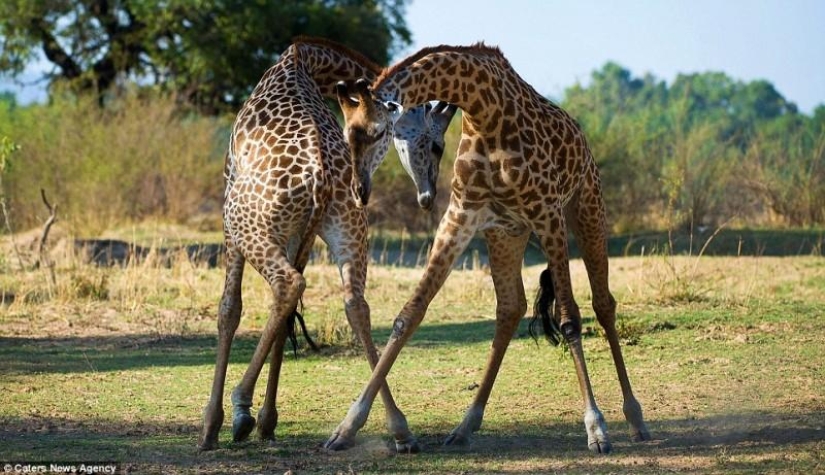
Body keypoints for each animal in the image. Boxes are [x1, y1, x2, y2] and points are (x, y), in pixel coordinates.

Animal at [197, 37, 456, 451]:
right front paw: (268, 420)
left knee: (288, 284)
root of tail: (321, 177)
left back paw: (238, 407)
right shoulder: (298, 233)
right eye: (436, 145)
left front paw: (217, 422)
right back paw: (398, 428)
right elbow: (286, 318)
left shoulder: (227, 196)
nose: (428, 195)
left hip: (242, 220)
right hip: (347, 228)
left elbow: (229, 309)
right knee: (354, 304)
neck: (305, 60)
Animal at [323, 44, 651, 454]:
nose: (359, 191)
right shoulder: (461, 214)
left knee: (603, 303)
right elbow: (409, 314)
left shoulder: (548, 213)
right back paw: (464, 426)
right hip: (507, 233)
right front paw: (348, 427)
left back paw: (636, 419)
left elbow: (570, 320)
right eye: (347, 135)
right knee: (510, 308)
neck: (484, 110)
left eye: (380, 132)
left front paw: (596, 428)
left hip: (586, 207)